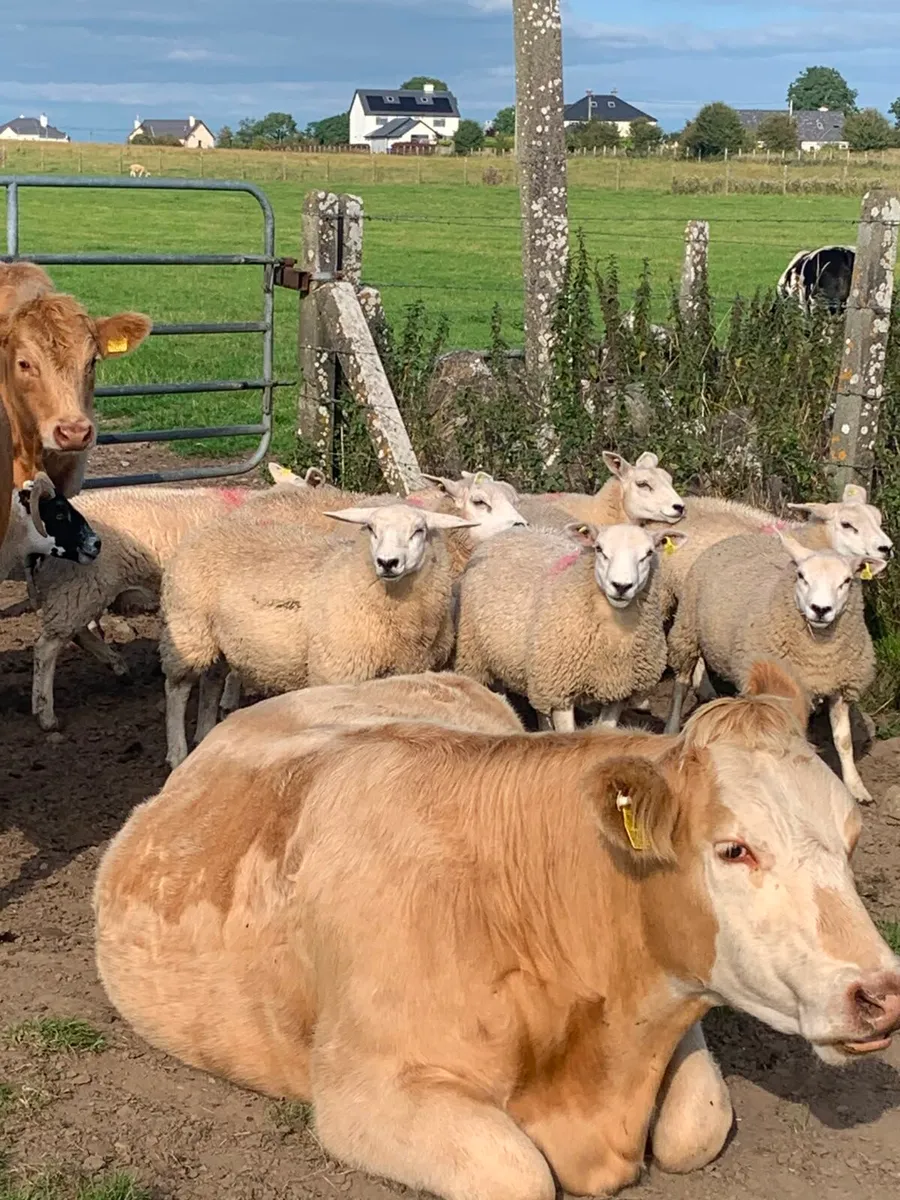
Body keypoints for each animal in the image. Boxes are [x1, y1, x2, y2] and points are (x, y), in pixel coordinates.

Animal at [28, 484, 261, 732]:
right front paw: (229, 701)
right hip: (79, 586)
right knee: (46, 648)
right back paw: (46, 715)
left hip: (77, 591)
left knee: (76, 634)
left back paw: (115, 665)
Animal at [161, 503, 476, 769]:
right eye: (371, 528)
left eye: (419, 530)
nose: (387, 562)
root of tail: (203, 529)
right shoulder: (338, 672)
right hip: (187, 628)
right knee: (177, 688)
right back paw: (178, 752)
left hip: (216, 638)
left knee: (211, 680)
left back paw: (205, 734)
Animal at [454, 522, 687, 731]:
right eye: (599, 549)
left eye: (648, 553)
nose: (621, 586)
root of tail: (513, 530)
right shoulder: (561, 689)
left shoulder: (620, 689)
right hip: (478, 656)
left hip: (537, 667)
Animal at [666, 531, 885, 803]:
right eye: (801, 576)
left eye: (846, 581)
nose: (820, 609)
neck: (818, 653)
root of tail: (743, 536)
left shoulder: (841, 686)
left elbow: (843, 740)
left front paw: (856, 788)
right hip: (687, 628)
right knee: (681, 684)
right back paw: (671, 728)